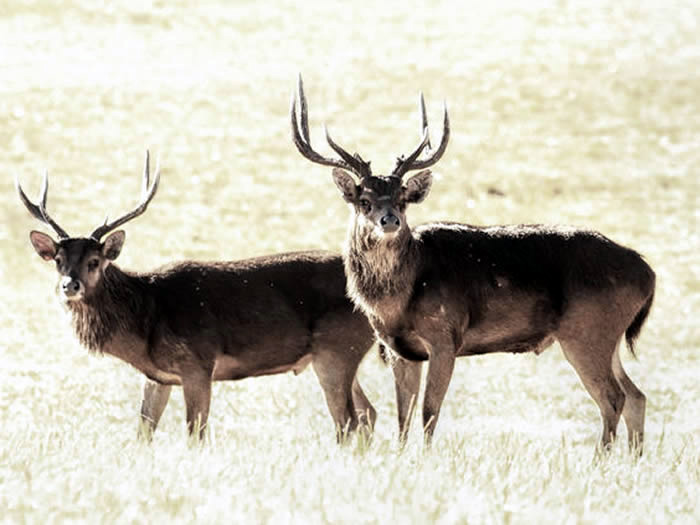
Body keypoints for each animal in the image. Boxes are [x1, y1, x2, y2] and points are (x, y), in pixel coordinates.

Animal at [16, 151, 378, 442]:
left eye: (94, 261)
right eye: (58, 260)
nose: (70, 285)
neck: (146, 323)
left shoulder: (198, 364)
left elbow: (195, 435)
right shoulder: (158, 377)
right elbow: (143, 432)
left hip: (336, 349)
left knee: (348, 422)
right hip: (340, 353)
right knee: (368, 414)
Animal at [290, 75, 656, 452]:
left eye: (403, 199)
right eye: (364, 200)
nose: (389, 220)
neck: (397, 302)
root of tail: (648, 273)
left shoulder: (445, 335)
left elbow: (429, 412)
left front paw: (425, 457)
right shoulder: (398, 349)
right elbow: (403, 416)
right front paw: (401, 456)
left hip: (587, 330)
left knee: (613, 398)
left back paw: (602, 458)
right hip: (607, 336)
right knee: (636, 396)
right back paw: (633, 457)